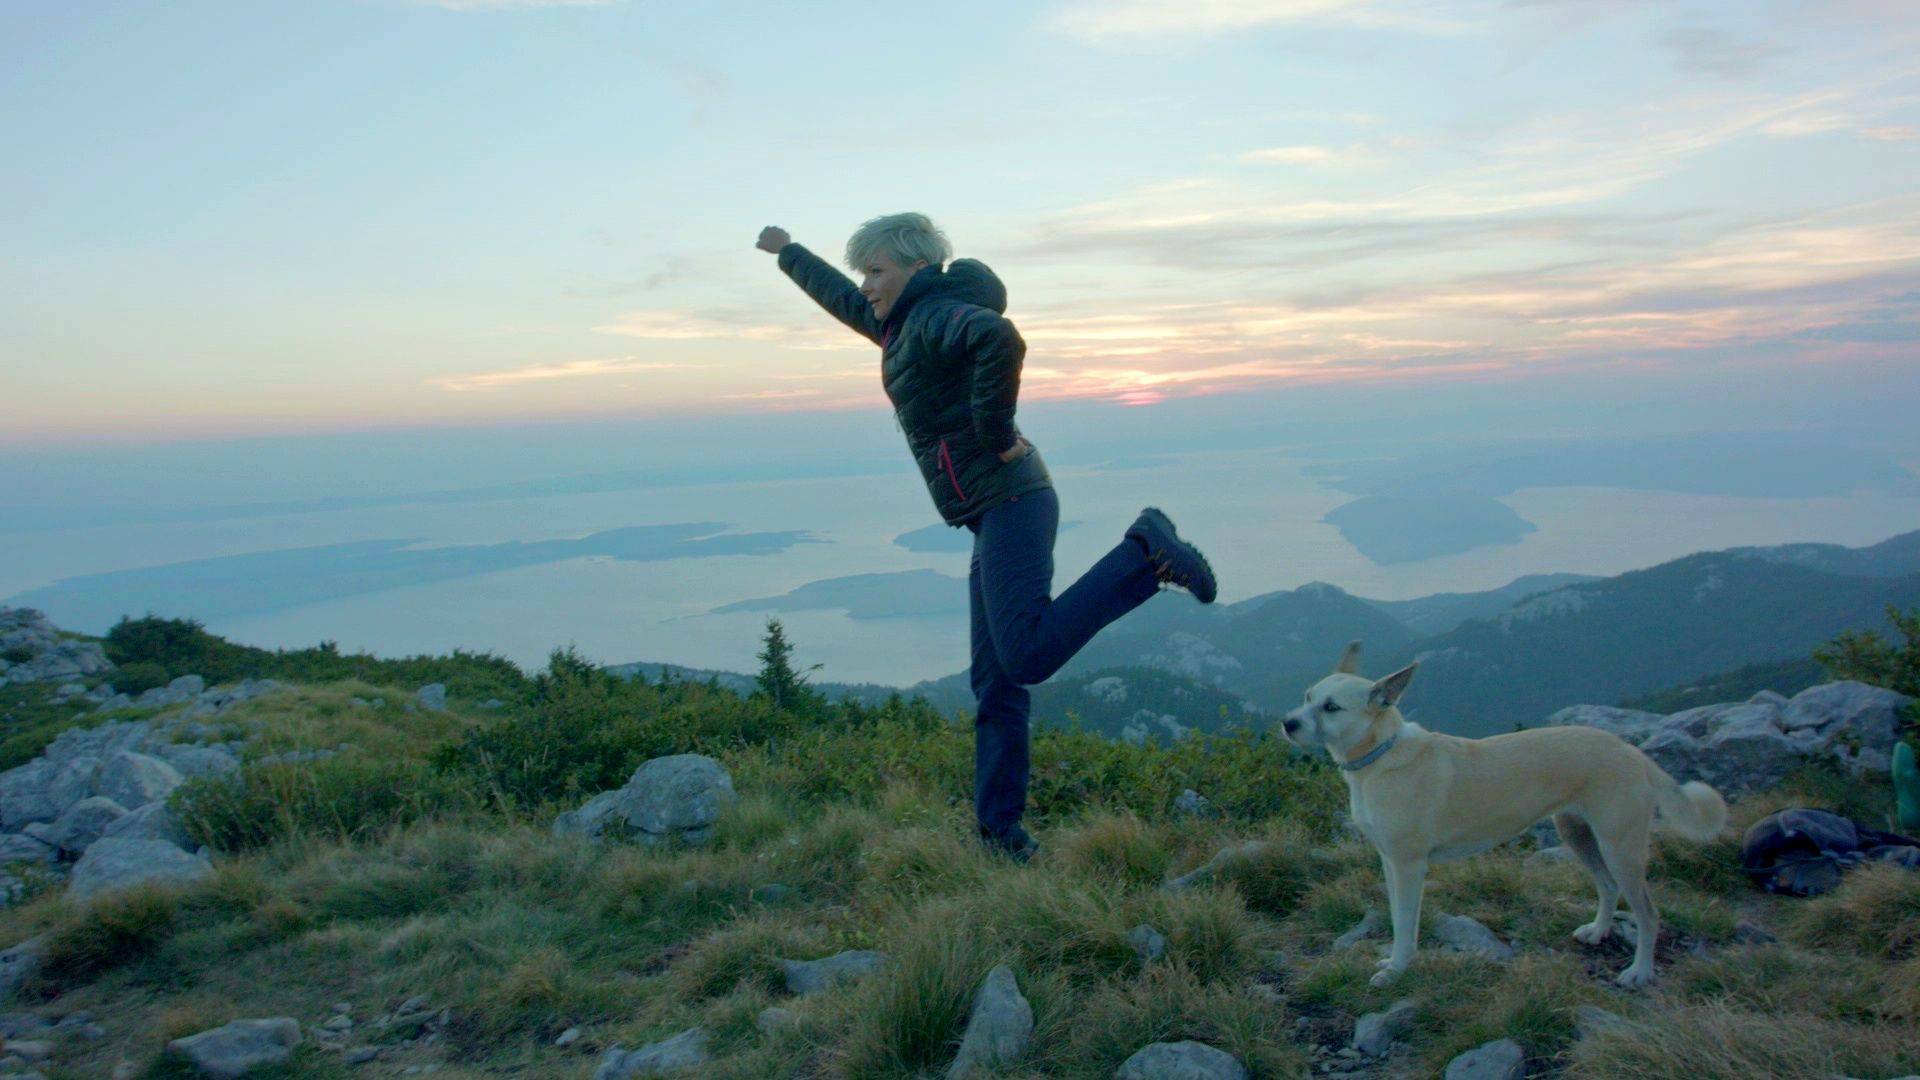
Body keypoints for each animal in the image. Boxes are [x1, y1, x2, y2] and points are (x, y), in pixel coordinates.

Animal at [1290, 638, 1728, 983]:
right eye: (1308, 696)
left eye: (1331, 707)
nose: (1286, 724)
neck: (1381, 756)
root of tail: (1629, 750)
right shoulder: (1389, 861)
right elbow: (1398, 916)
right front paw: (1397, 962)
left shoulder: (1409, 865)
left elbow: (1404, 921)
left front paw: (1397, 969)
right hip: (1578, 834)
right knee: (1607, 886)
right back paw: (1599, 932)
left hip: (1621, 848)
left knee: (1648, 914)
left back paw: (1640, 972)